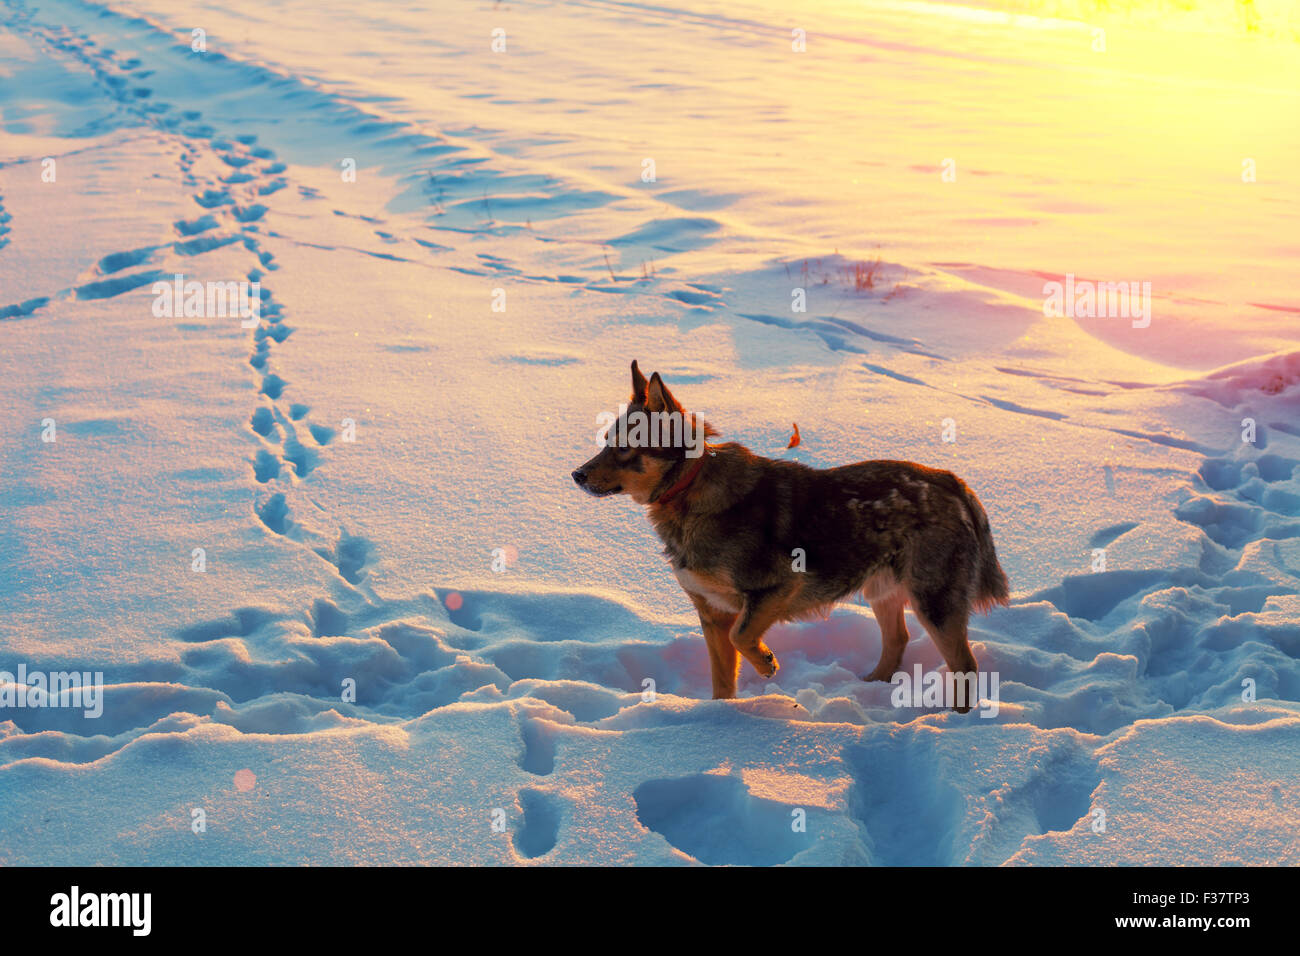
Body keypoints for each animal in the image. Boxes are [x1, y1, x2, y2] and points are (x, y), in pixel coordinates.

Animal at [574, 361, 1008, 707]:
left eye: (624, 449)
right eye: (606, 443)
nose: (576, 475)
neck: (689, 489)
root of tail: (951, 481)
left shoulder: (775, 588)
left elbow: (742, 636)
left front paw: (766, 663)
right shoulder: (711, 614)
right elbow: (722, 679)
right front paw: (716, 723)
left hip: (933, 600)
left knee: (965, 665)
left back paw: (955, 723)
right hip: (882, 590)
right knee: (898, 639)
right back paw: (873, 687)